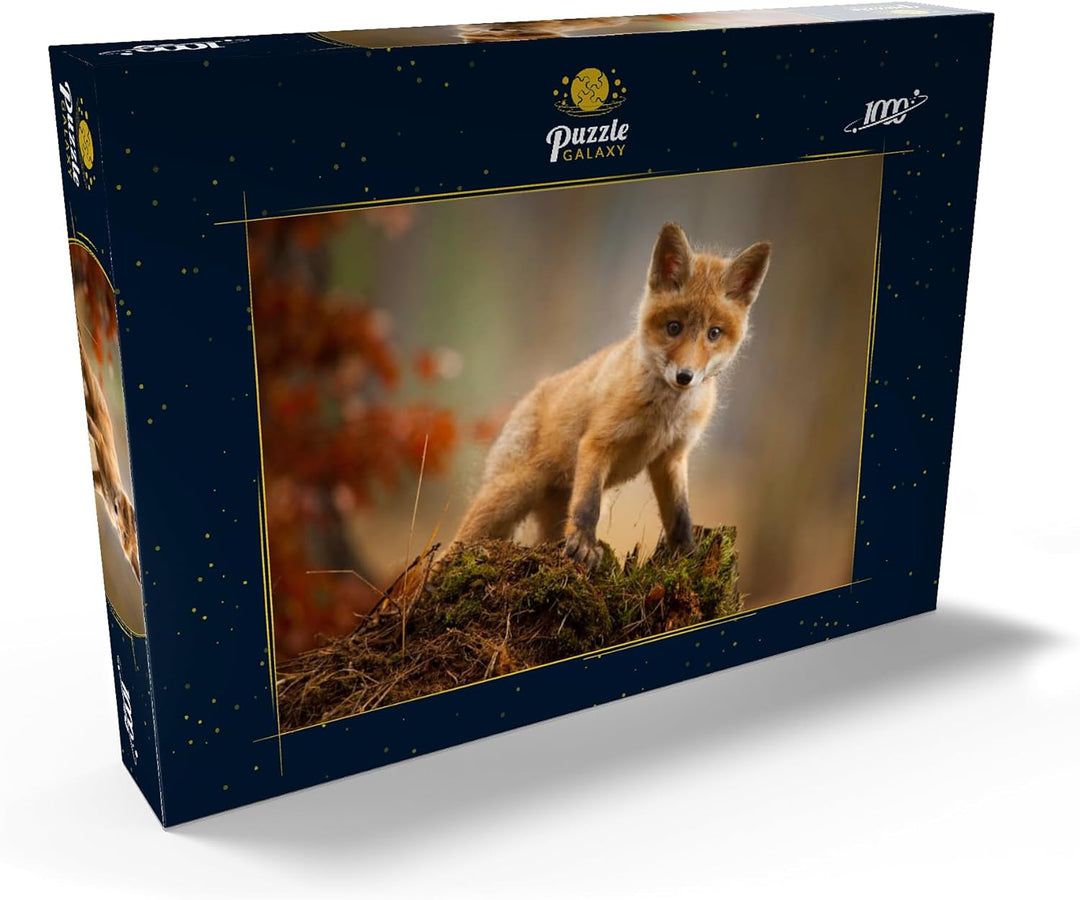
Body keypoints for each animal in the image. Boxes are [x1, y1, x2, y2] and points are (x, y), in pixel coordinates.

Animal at [454, 222, 771, 570]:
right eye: (674, 327)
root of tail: (526, 397)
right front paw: (583, 545)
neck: (663, 415)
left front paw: (687, 554)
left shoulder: (671, 457)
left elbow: (679, 515)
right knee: (454, 546)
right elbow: (588, 506)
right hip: (511, 493)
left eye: (714, 333)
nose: (684, 377)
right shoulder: (598, 442)